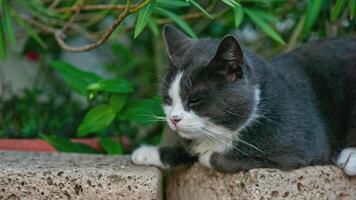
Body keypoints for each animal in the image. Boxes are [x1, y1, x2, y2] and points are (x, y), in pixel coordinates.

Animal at [131, 25, 356, 175]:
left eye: (195, 100)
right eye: (168, 99)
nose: (173, 119)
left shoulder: (298, 150)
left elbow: (219, 158)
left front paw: (205, 156)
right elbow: (188, 148)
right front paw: (148, 153)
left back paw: (350, 157)